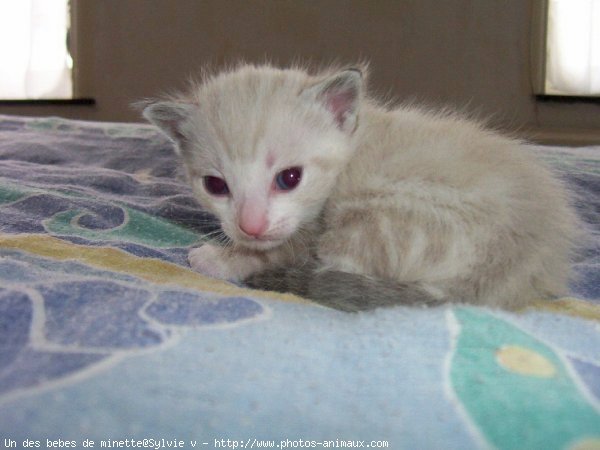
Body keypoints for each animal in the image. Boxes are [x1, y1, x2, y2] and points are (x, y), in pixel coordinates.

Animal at [143, 63, 580, 312]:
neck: (353, 143)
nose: (250, 226)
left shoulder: (312, 233)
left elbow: (276, 253)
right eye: (215, 185)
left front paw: (219, 258)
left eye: (289, 178)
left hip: (378, 221)